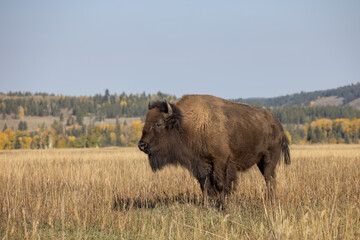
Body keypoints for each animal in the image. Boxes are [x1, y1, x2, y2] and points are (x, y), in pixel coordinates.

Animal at [138, 94, 290, 209]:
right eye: (146, 121)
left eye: (159, 124)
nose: (141, 145)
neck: (187, 124)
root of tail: (279, 126)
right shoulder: (201, 164)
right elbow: (204, 185)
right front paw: (204, 206)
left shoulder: (220, 161)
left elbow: (221, 184)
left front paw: (223, 207)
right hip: (260, 162)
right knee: (270, 181)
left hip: (269, 160)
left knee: (269, 180)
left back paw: (270, 204)